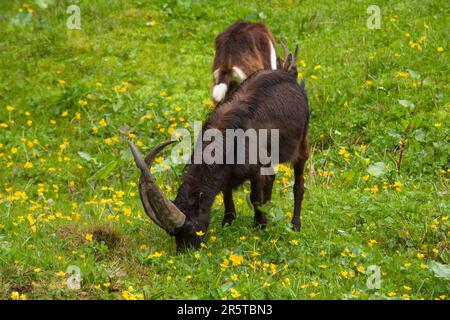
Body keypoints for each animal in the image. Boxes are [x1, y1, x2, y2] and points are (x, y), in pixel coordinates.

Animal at [128, 43, 308, 251]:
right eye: (172, 233)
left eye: (191, 227)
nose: (185, 251)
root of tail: (290, 75)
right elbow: (226, 192)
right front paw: (228, 221)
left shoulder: (256, 167)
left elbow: (255, 198)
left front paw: (259, 226)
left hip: (302, 144)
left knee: (298, 184)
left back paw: (295, 224)